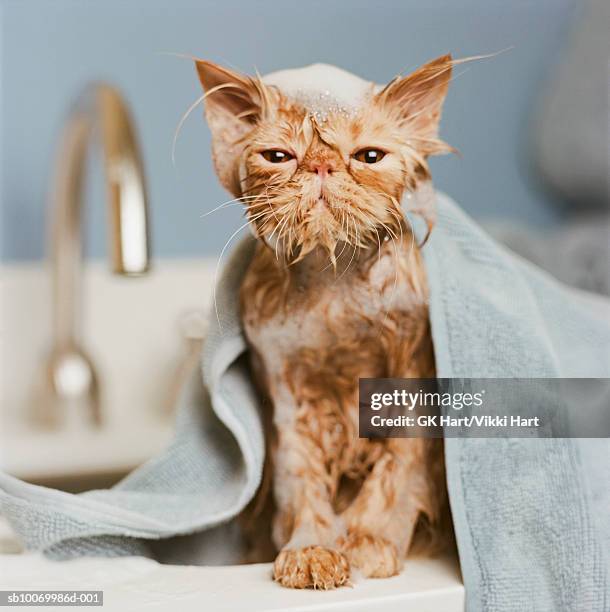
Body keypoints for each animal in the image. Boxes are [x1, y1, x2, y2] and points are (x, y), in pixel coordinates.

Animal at [194, 56, 452, 588]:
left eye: (368, 156)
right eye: (278, 155)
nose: (321, 165)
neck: (335, 288)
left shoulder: (413, 383)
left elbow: (398, 469)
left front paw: (369, 539)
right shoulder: (288, 398)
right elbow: (301, 482)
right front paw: (311, 548)